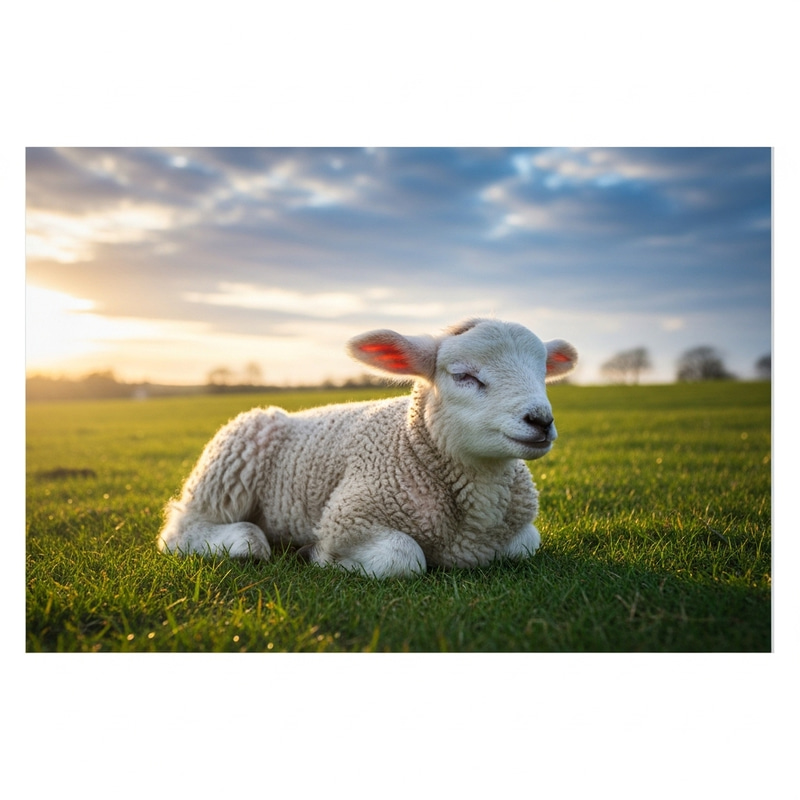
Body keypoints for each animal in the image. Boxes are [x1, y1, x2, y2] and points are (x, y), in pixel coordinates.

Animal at [156, 318, 577, 578]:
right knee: (182, 530)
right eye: (464, 376)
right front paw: (319, 557)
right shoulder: (346, 516)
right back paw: (246, 540)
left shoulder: (519, 533)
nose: (541, 421)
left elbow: (525, 545)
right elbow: (403, 558)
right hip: (227, 469)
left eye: (542, 373)